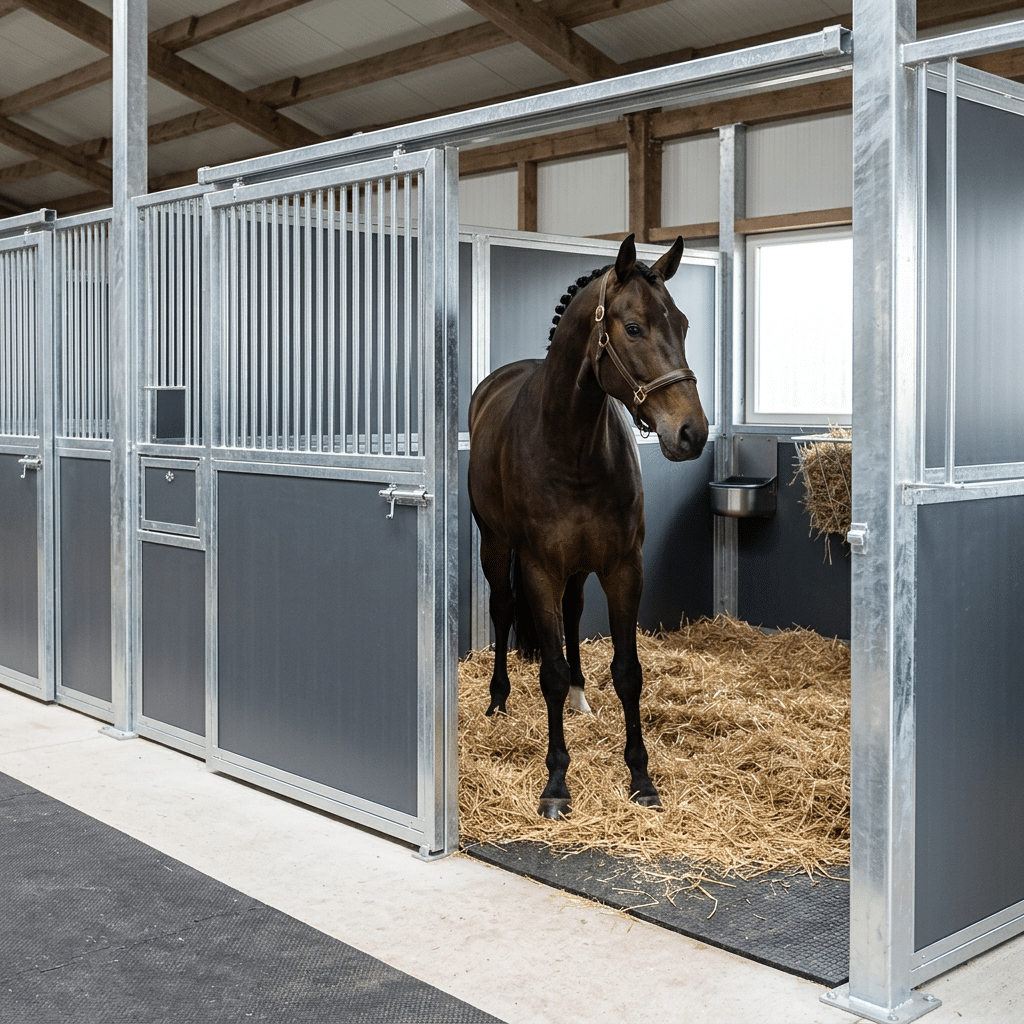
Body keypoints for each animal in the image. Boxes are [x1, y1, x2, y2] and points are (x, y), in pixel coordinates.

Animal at [467, 233, 708, 819]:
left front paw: (641, 778)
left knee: (573, 615)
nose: (691, 433)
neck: (571, 447)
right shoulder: (538, 568)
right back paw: (498, 700)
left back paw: (580, 696)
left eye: (683, 323)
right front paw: (556, 783)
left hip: (578, 568)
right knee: (503, 609)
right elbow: (549, 672)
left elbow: (628, 672)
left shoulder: (623, 566)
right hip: (495, 545)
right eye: (634, 327)